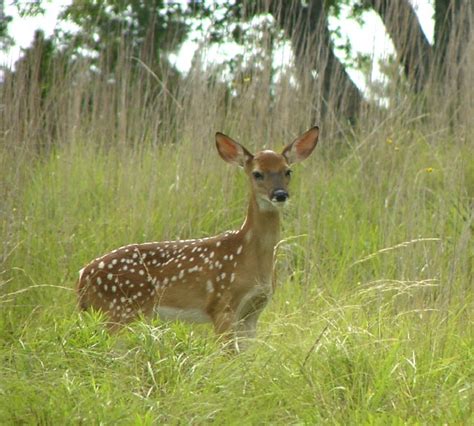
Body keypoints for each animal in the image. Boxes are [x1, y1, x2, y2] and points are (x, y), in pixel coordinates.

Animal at [77, 125, 318, 350]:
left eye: (287, 171)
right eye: (257, 173)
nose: (280, 194)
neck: (250, 255)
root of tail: (82, 275)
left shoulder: (253, 312)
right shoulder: (222, 305)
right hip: (117, 309)